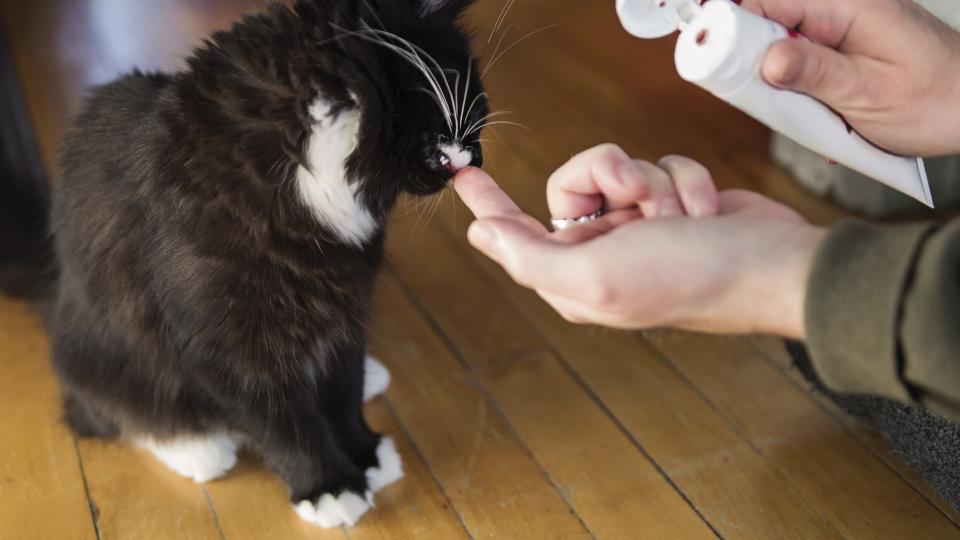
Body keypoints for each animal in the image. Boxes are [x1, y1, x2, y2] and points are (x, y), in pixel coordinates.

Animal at [44, 0, 484, 528]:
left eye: (475, 104)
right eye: (436, 144)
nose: (475, 157)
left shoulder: (344, 305)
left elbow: (341, 387)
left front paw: (365, 453)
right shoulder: (225, 346)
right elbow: (283, 423)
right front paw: (329, 486)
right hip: (109, 357)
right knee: (106, 410)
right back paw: (198, 449)